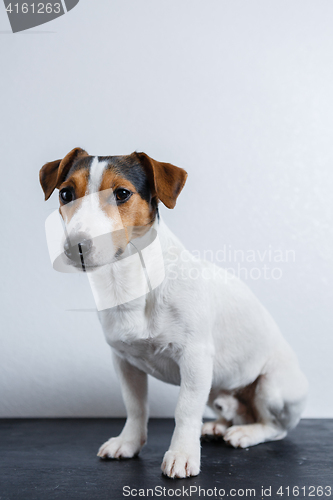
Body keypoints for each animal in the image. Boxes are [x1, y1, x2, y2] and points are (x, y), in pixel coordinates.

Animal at [40, 149, 308, 480]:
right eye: (66, 193)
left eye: (122, 193)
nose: (75, 246)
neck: (131, 282)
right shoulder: (124, 362)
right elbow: (135, 406)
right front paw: (129, 442)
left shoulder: (194, 358)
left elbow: (185, 410)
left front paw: (182, 454)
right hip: (215, 388)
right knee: (237, 413)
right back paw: (220, 426)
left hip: (272, 388)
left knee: (276, 427)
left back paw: (246, 433)